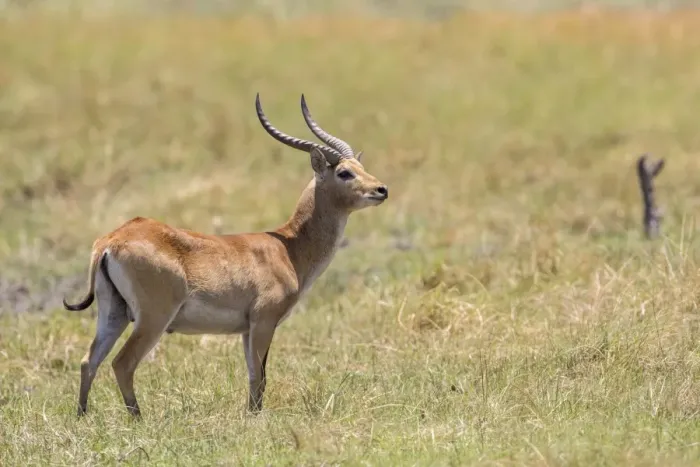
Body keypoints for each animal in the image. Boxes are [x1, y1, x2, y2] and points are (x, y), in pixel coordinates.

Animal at [63, 93, 389, 417]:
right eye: (344, 172)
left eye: (360, 167)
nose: (381, 189)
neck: (289, 250)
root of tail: (112, 240)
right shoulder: (263, 322)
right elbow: (260, 377)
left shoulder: (247, 329)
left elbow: (255, 375)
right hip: (152, 318)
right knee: (122, 363)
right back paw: (139, 420)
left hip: (113, 313)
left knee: (88, 361)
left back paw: (82, 417)